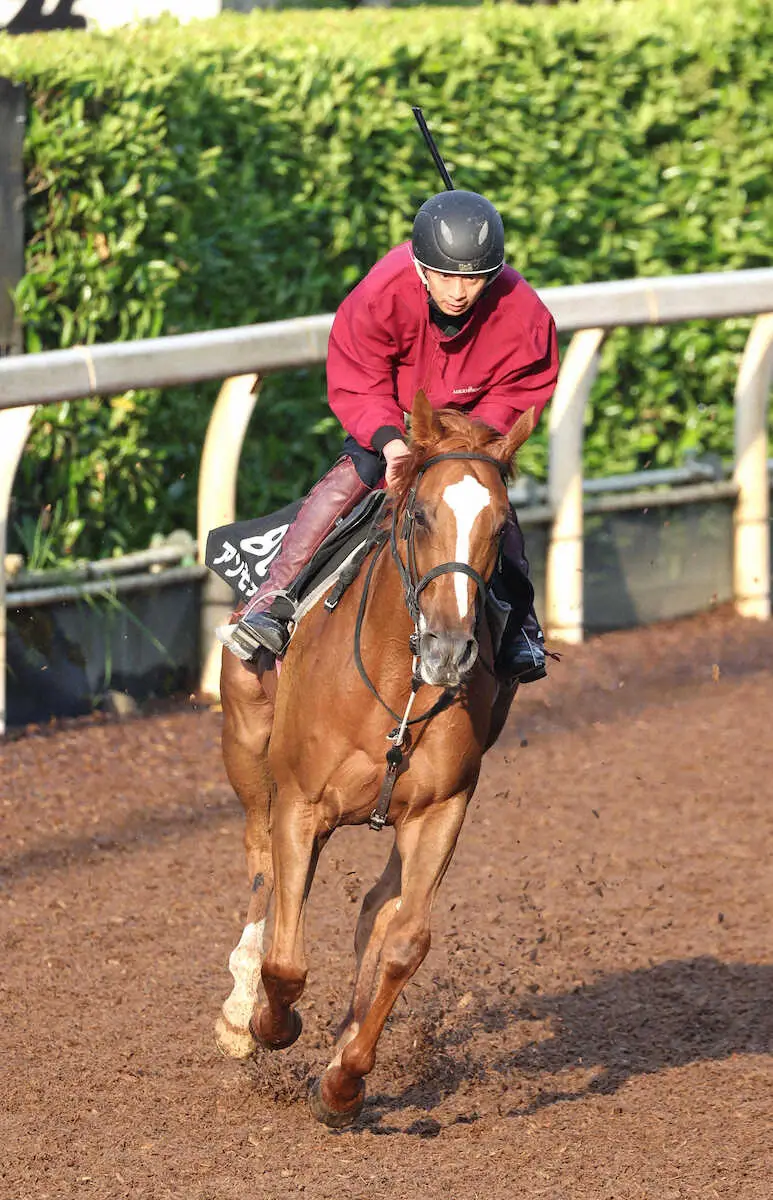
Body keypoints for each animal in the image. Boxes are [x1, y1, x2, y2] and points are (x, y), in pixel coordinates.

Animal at [214, 391, 535, 1123]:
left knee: (376, 907)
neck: (396, 684)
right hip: (248, 752)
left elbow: (404, 940)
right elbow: (287, 962)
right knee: (259, 867)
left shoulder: (442, 809)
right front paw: (268, 1023)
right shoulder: (300, 805)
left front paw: (344, 1077)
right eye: (419, 515)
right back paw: (239, 1009)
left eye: (499, 525)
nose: (449, 648)